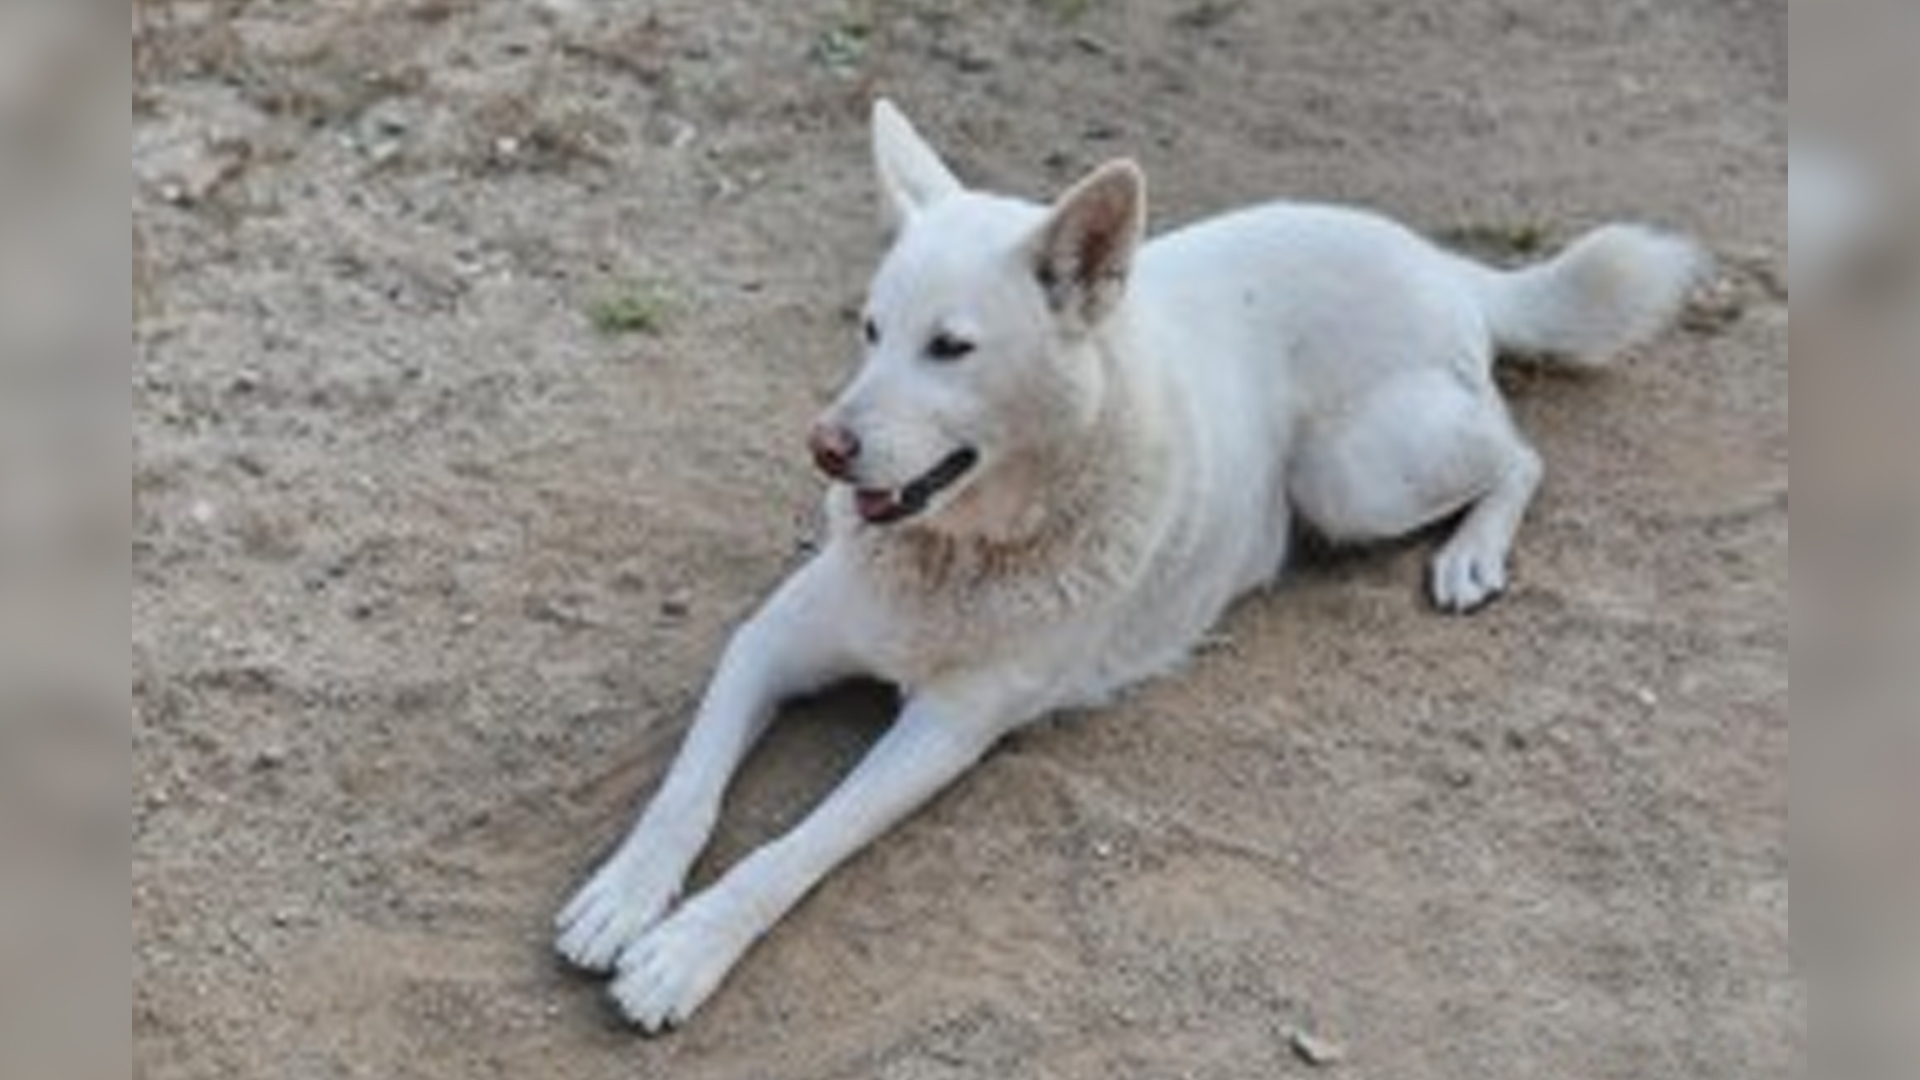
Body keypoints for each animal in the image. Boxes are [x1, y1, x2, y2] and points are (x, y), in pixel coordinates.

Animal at [556, 98, 1712, 1022]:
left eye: (951, 348)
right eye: (870, 330)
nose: (825, 448)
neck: (960, 551)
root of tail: (1433, 257)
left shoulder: (946, 728)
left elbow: (789, 850)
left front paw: (684, 951)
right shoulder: (770, 643)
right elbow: (685, 790)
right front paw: (624, 895)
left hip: (1355, 474)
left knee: (1520, 452)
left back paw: (1473, 555)